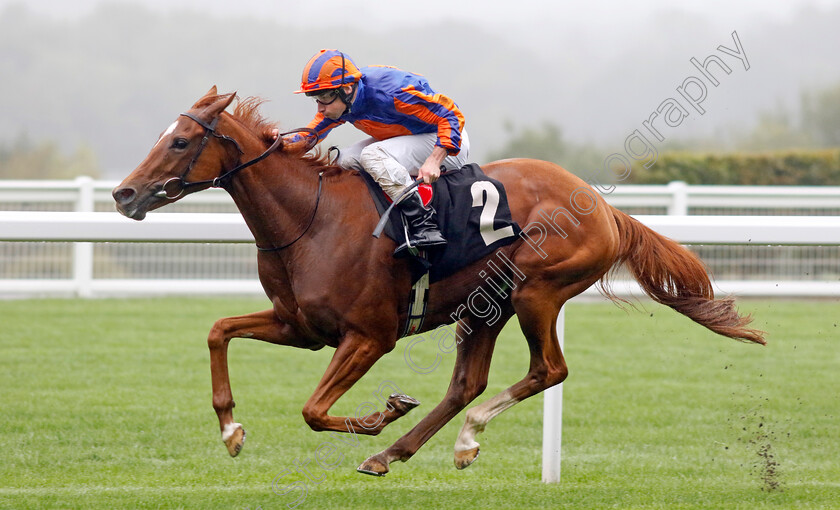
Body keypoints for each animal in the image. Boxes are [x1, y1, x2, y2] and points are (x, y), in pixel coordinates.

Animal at [115, 86, 764, 474]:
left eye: (180, 140)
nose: (124, 194)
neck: (310, 219)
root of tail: (603, 206)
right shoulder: (300, 326)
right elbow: (218, 330)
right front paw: (231, 429)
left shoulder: (370, 335)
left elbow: (313, 409)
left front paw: (384, 411)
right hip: (485, 305)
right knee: (467, 384)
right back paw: (396, 452)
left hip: (534, 290)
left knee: (547, 370)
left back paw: (458, 439)